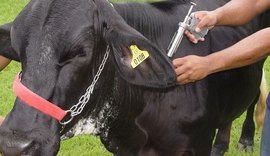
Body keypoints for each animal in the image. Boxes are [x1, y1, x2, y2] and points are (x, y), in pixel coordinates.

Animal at [0, 0, 268, 156]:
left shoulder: (196, 143)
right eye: (17, 49)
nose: (15, 145)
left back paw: (245, 139)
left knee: (254, 97)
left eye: (81, 52)